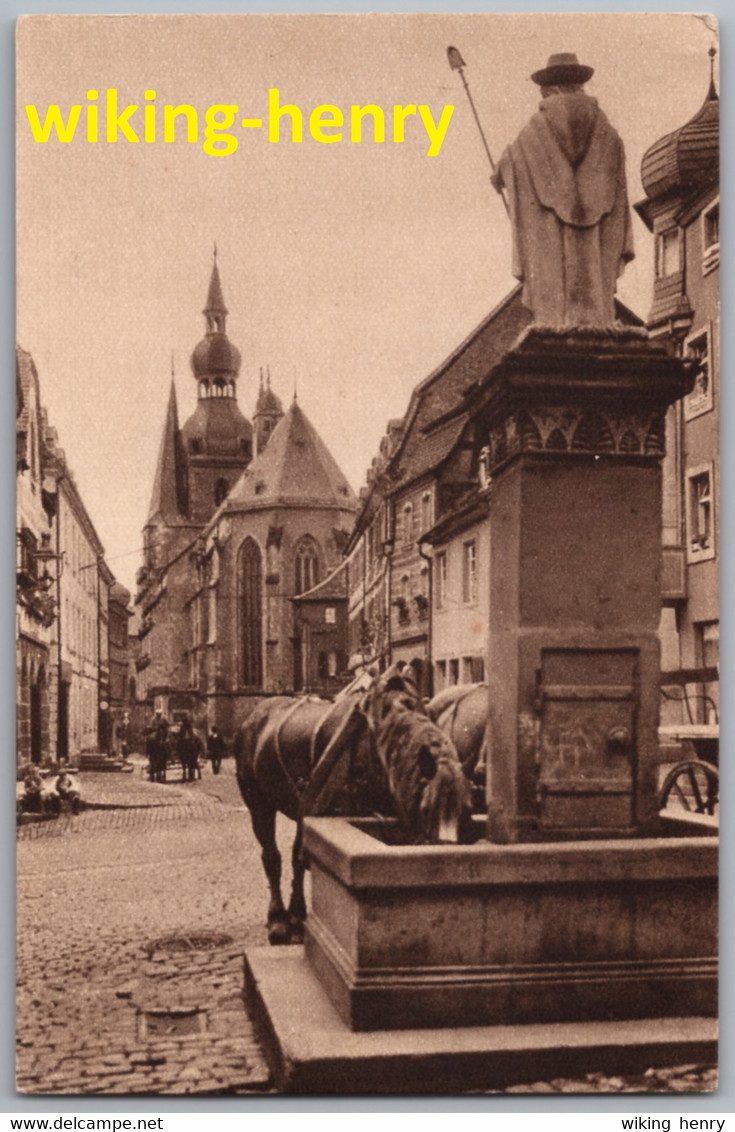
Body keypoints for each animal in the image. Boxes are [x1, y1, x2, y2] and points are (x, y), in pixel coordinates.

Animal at [237, 661, 473, 946]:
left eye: (467, 810)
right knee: (272, 856)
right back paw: (278, 921)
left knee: (296, 856)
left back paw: (296, 915)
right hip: (258, 804)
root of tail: (253, 717)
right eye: (427, 809)